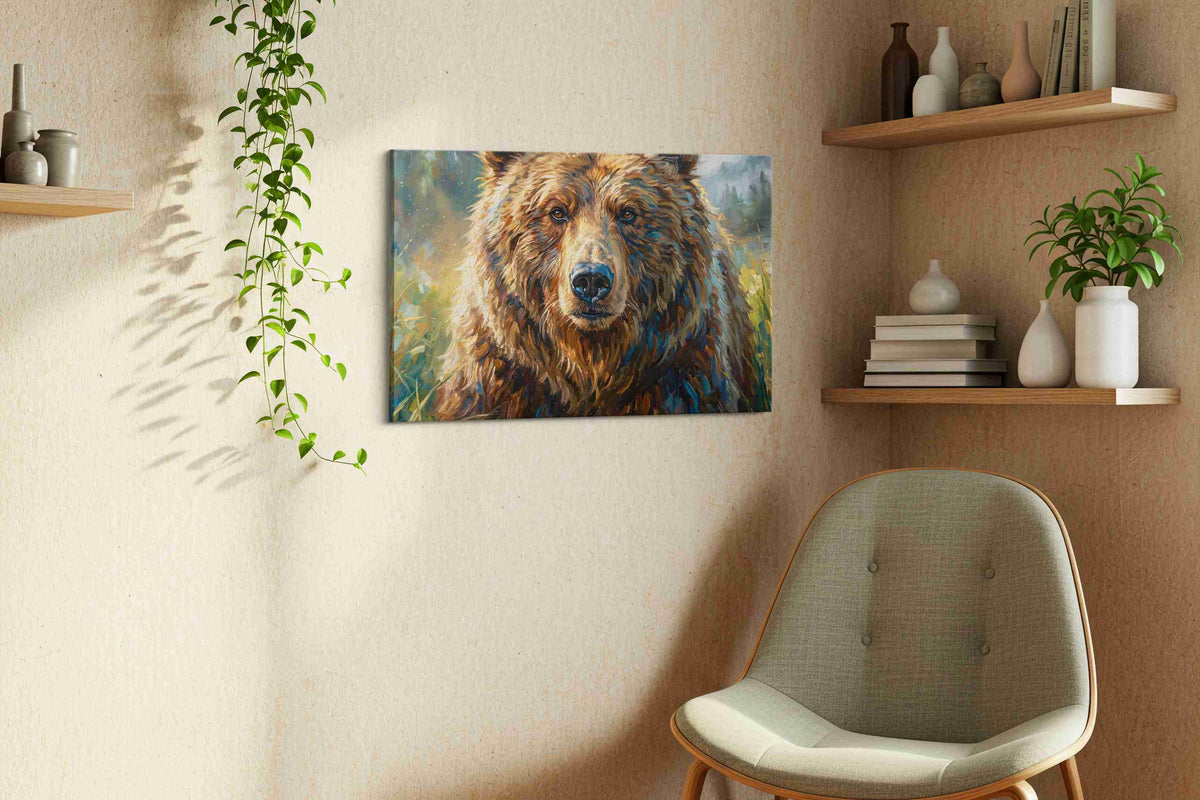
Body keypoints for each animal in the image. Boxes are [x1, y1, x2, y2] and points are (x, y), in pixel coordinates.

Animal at [433, 151, 764, 421]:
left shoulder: (686, 373)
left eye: (628, 212)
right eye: (557, 211)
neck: (590, 363)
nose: (591, 280)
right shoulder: (495, 379)